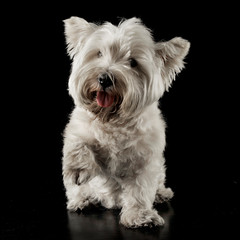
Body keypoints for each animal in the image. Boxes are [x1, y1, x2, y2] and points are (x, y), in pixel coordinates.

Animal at [62, 17, 189, 229]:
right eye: (99, 53)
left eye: (133, 63)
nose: (104, 78)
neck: (113, 120)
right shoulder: (78, 127)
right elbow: (78, 143)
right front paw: (78, 170)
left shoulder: (145, 159)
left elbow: (140, 189)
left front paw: (140, 215)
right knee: (77, 191)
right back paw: (83, 200)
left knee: (157, 182)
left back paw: (161, 193)